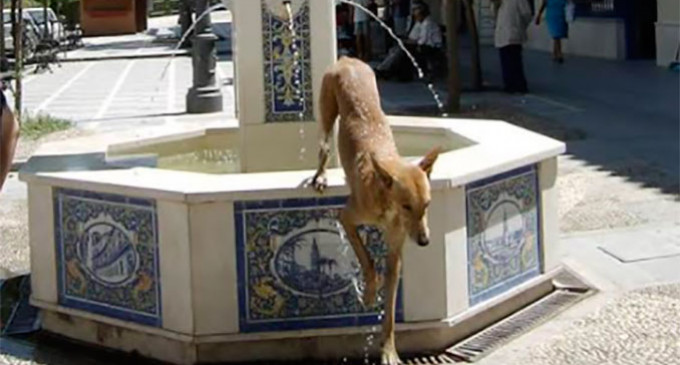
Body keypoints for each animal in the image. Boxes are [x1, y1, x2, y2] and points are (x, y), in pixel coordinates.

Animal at [310, 57, 438, 364]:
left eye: (426, 205)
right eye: (406, 206)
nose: (425, 241)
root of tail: (347, 60)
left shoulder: (395, 253)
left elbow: (389, 311)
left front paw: (388, 350)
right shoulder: (346, 218)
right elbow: (367, 260)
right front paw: (369, 292)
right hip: (327, 113)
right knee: (323, 148)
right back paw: (320, 177)